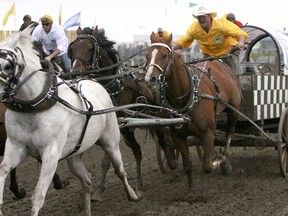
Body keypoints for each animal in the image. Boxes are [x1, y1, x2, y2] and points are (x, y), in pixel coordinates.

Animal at [0, 27, 142, 216]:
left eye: (7, 66)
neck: (34, 106)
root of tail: (95, 82)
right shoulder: (15, 146)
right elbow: (3, 170)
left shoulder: (51, 153)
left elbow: (38, 196)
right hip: (73, 157)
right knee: (87, 181)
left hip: (111, 142)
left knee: (120, 170)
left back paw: (133, 194)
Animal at [68, 26, 177, 194]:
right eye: (72, 48)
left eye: (90, 48)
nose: (74, 73)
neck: (112, 89)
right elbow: (107, 160)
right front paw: (99, 190)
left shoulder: (123, 128)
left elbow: (132, 153)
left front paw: (137, 184)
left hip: (158, 117)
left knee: (163, 139)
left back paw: (170, 163)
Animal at [143, 32, 241, 189]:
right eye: (147, 55)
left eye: (164, 55)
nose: (149, 79)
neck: (186, 95)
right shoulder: (177, 136)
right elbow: (187, 165)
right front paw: (191, 190)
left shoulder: (207, 131)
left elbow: (208, 166)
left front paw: (218, 159)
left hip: (234, 110)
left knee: (230, 132)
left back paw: (225, 159)